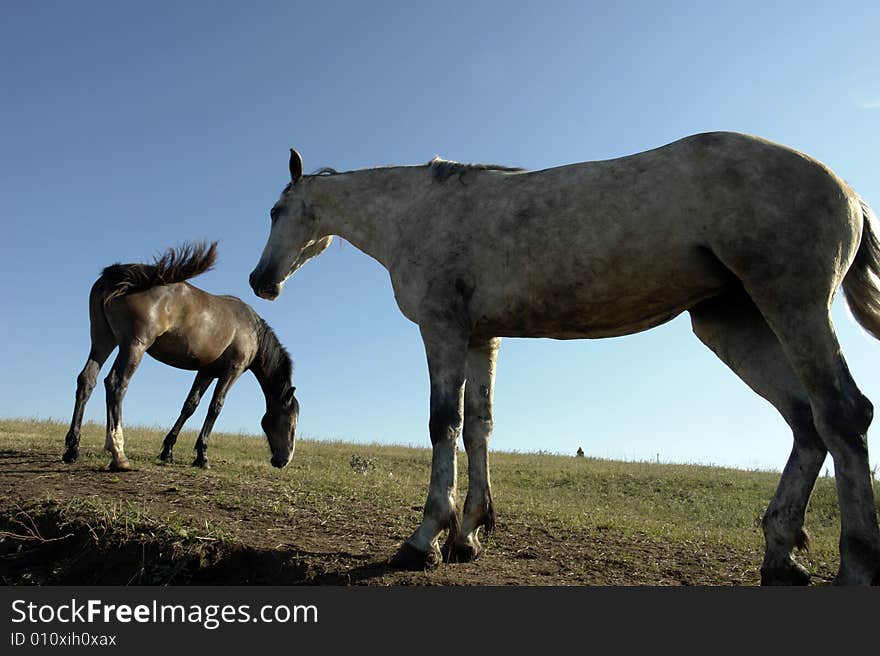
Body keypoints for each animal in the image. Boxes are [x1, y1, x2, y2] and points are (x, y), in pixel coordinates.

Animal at [64, 241, 300, 472]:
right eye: (291, 422)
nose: (284, 460)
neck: (252, 330)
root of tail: (120, 274)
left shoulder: (207, 371)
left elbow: (190, 405)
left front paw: (168, 451)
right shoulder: (232, 371)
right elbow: (215, 407)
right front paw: (202, 456)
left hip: (103, 341)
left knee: (87, 380)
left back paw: (72, 449)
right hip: (133, 346)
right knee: (116, 384)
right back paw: (118, 453)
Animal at [248, 132, 880, 584]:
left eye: (277, 211)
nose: (260, 281)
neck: (421, 213)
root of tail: (849, 191)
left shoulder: (443, 331)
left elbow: (442, 426)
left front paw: (425, 539)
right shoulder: (481, 339)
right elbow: (479, 427)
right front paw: (468, 536)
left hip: (791, 305)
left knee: (842, 413)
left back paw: (855, 565)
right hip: (733, 325)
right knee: (807, 422)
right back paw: (781, 555)